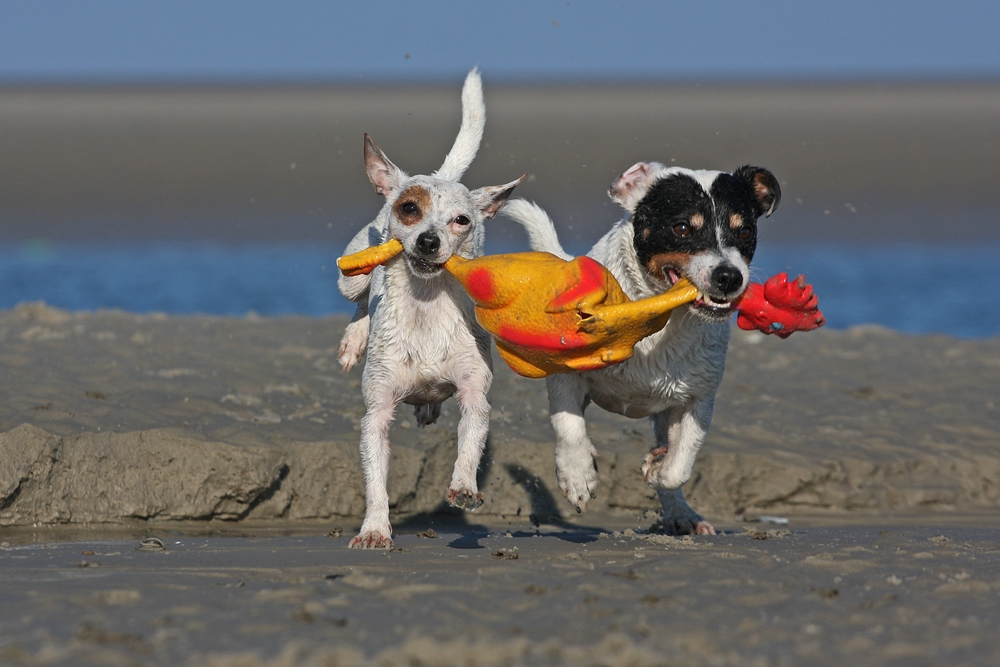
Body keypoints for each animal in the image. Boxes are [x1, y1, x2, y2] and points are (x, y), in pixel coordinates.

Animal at [336, 69, 524, 548]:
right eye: (409, 209)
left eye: (461, 220)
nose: (428, 240)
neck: (424, 307)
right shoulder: (377, 415)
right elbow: (376, 480)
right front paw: (375, 529)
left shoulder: (475, 393)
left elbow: (470, 444)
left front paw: (464, 487)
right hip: (351, 274)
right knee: (359, 300)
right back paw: (354, 340)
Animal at [504, 162, 776, 536]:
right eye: (681, 228)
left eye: (746, 231)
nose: (729, 276)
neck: (657, 314)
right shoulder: (565, 375)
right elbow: (569, 426)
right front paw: (577, 475)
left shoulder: (698, 399)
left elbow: (680, 464)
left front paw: (657, 468)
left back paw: (681, 512)